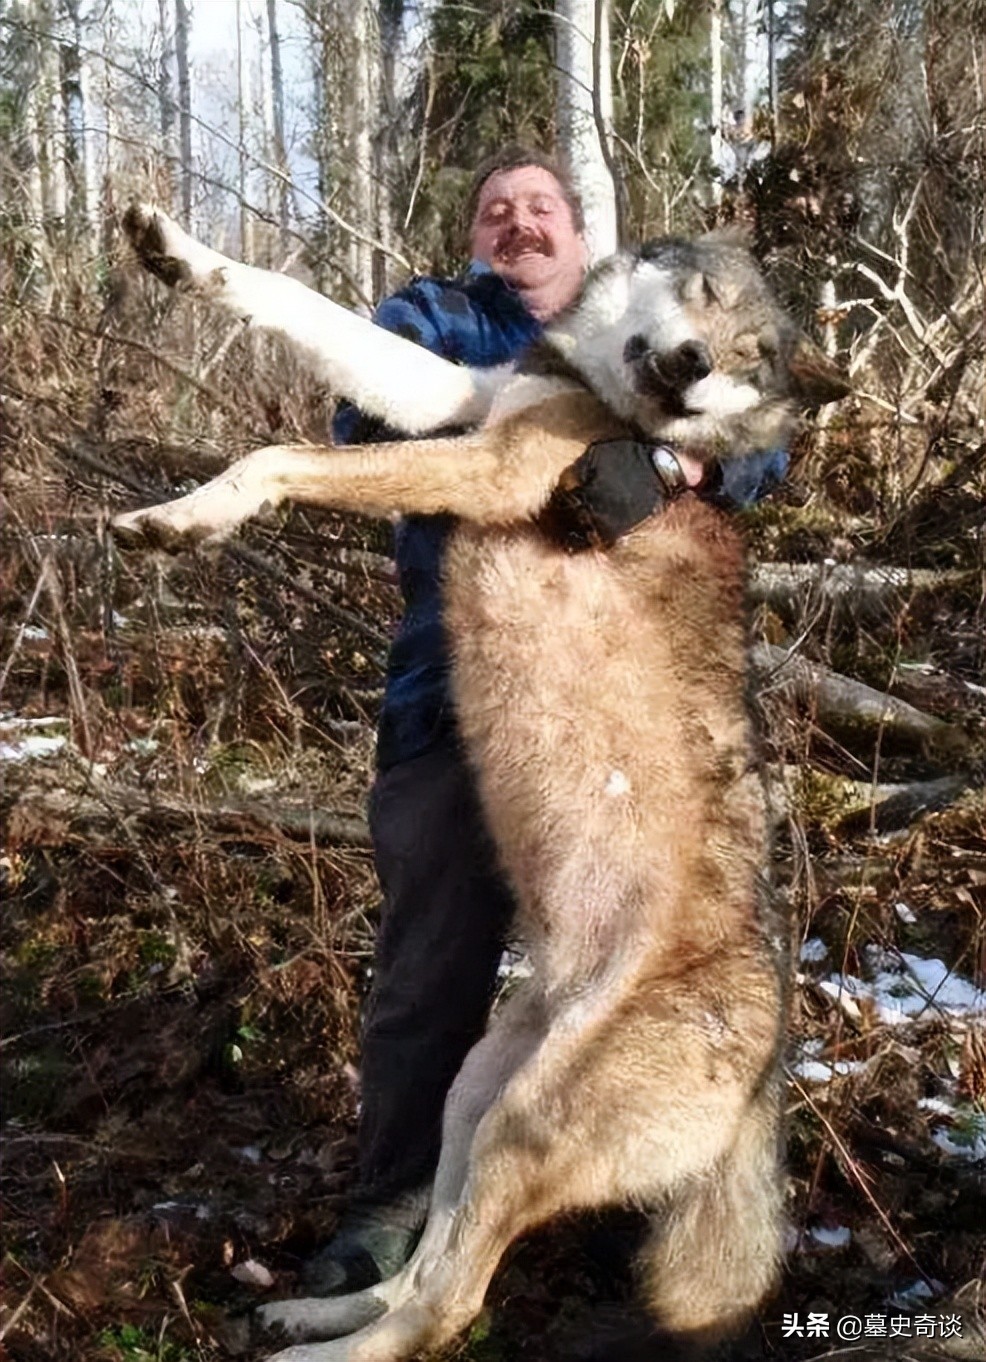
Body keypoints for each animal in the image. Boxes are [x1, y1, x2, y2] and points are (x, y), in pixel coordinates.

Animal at [111, 204, 844, 1362]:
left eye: (751, 358)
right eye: (707, 304)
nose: (690, 369)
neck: (609, 406)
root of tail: (771, 1077)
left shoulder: (491, 465)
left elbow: (280, 453)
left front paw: (186, 520)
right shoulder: (453, 399)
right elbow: (296, 303)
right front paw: (177, 254)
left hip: (524, 1125)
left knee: (449, 1306)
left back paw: (318, 1353)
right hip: (474, 1093)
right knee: (424, 1267)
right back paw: (313, 1309)